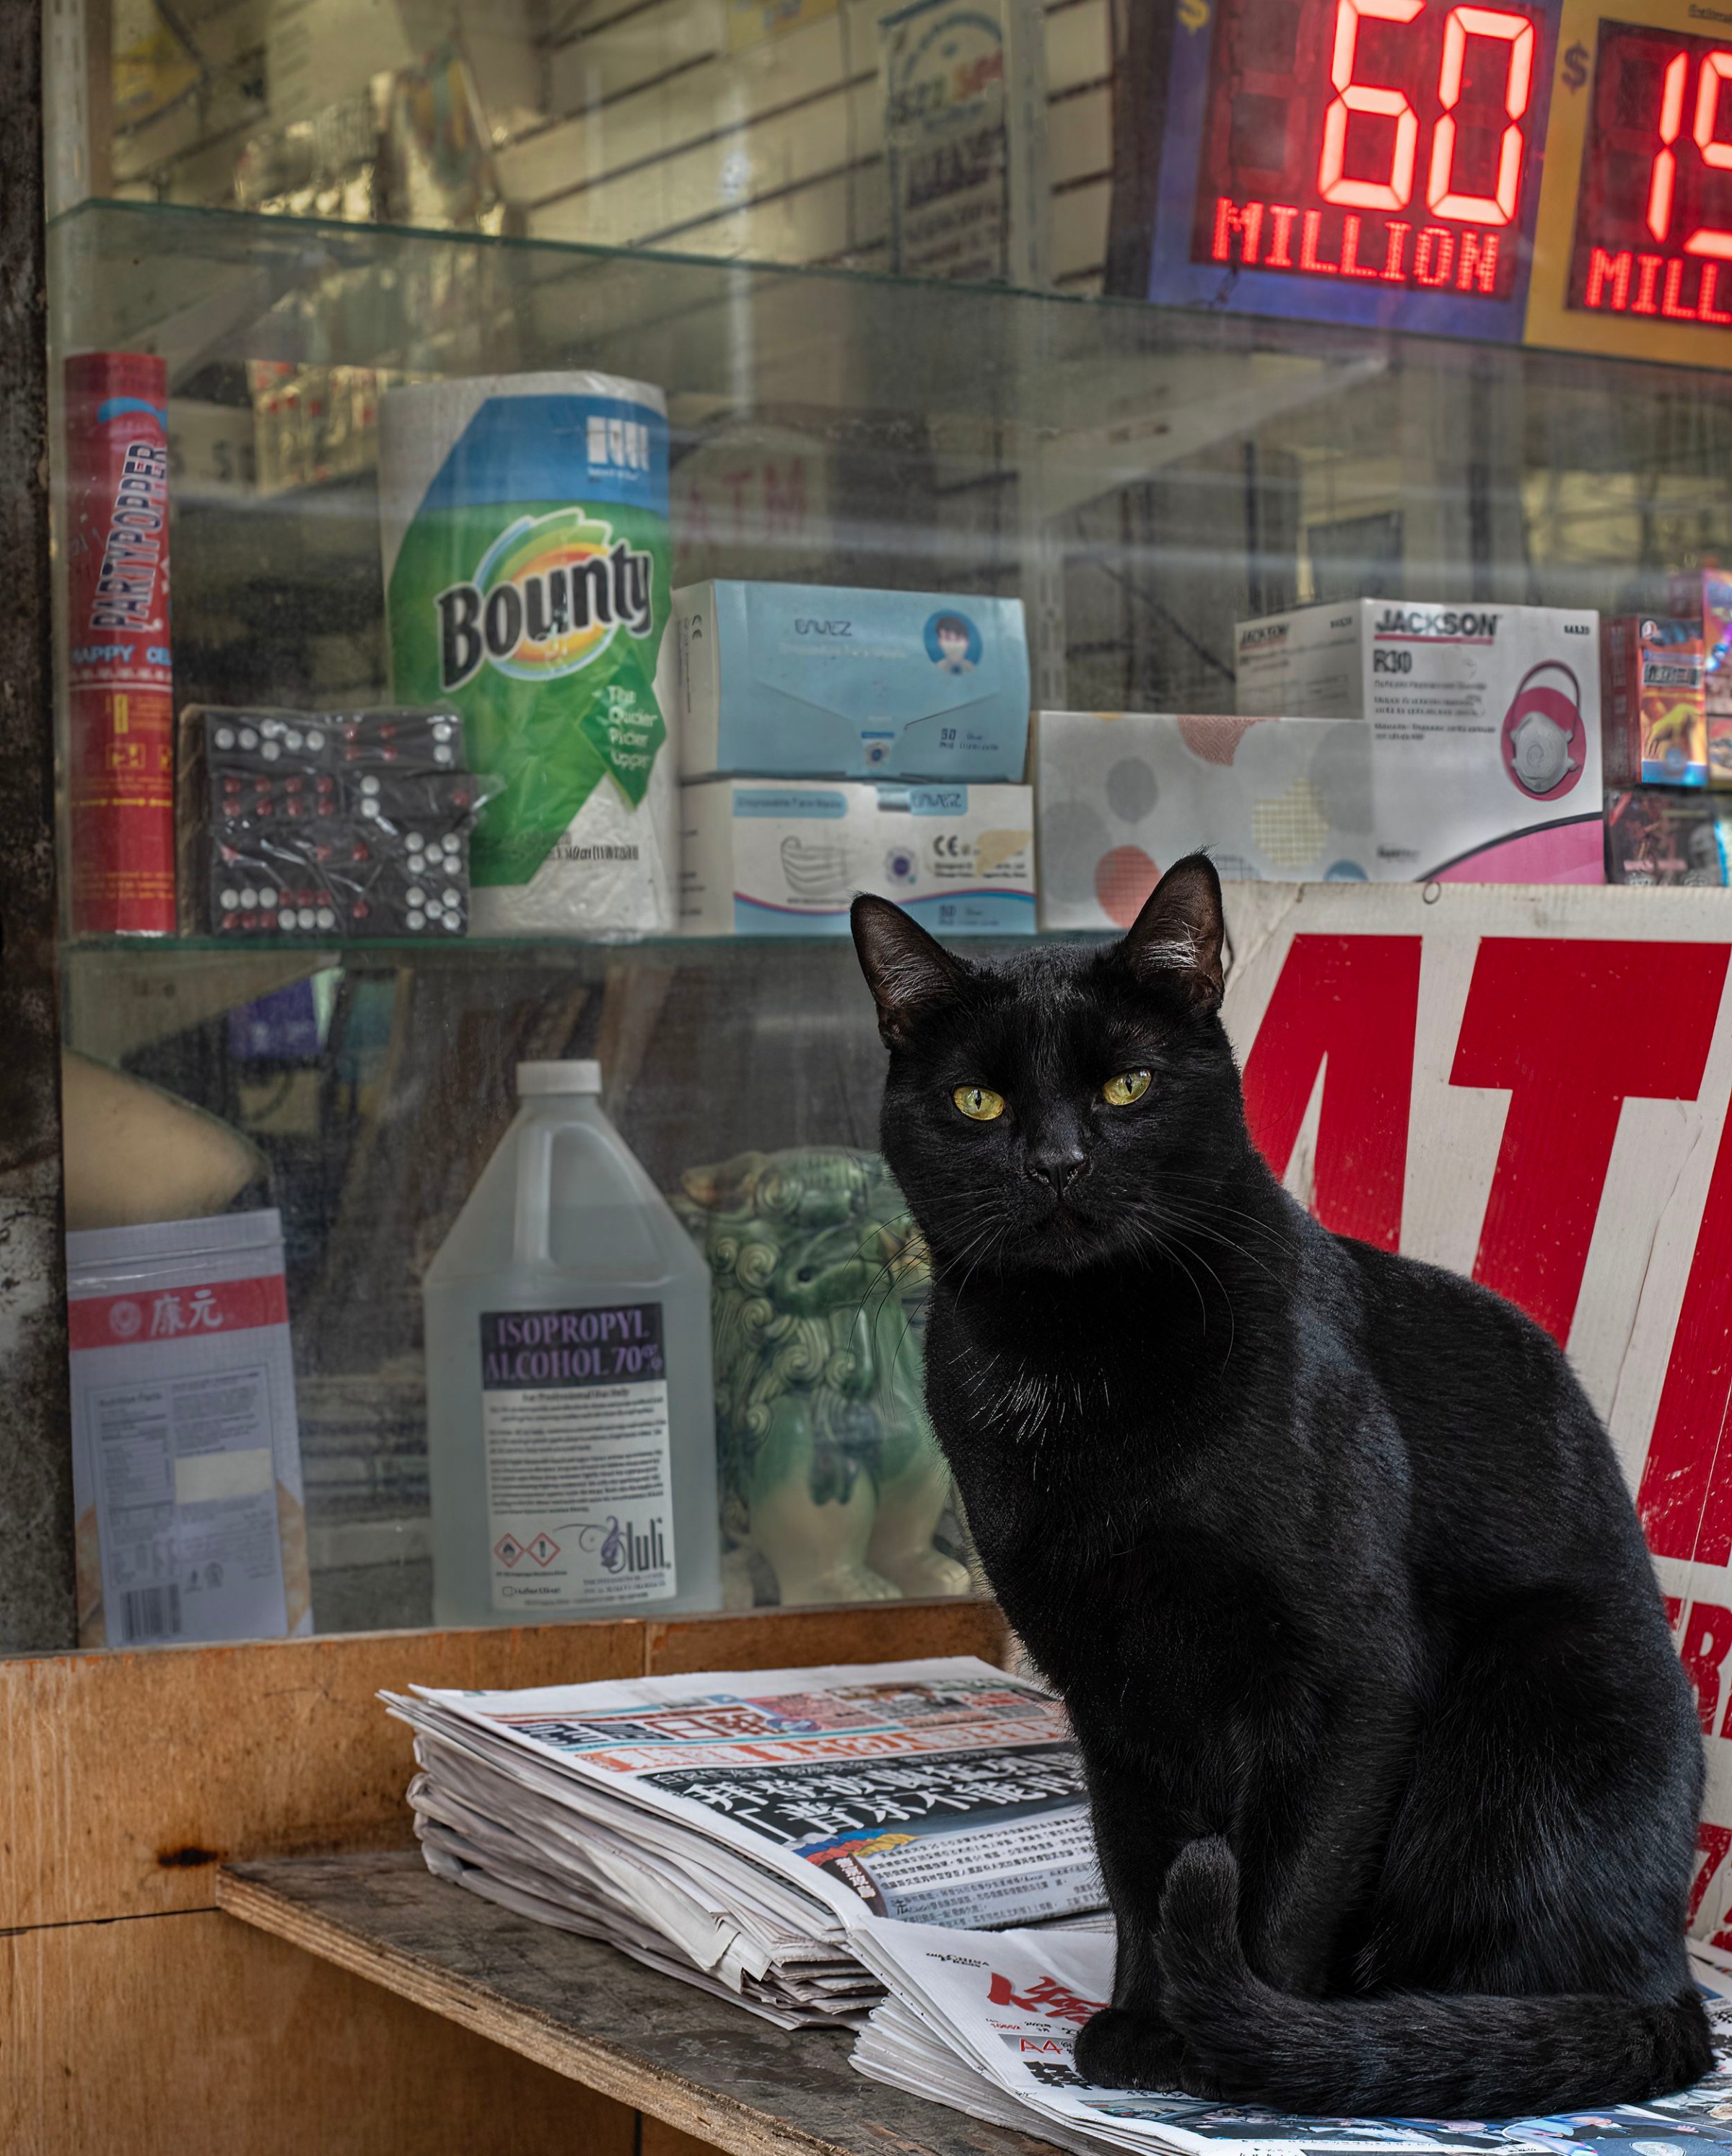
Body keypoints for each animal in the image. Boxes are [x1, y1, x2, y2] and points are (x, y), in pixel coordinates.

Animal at [845, 849, 1717, 2113]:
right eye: (979, 1105)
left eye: (1128, 1087)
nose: (1057, 1163)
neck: (1078, 1361)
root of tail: (1674, 1980)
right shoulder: (1108, 1688)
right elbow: (1138, 1868)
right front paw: (1138, 2024)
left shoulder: (1351, 1676)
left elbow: (1286, 1885)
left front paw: (1228, 2047)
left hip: (1534, 1700)